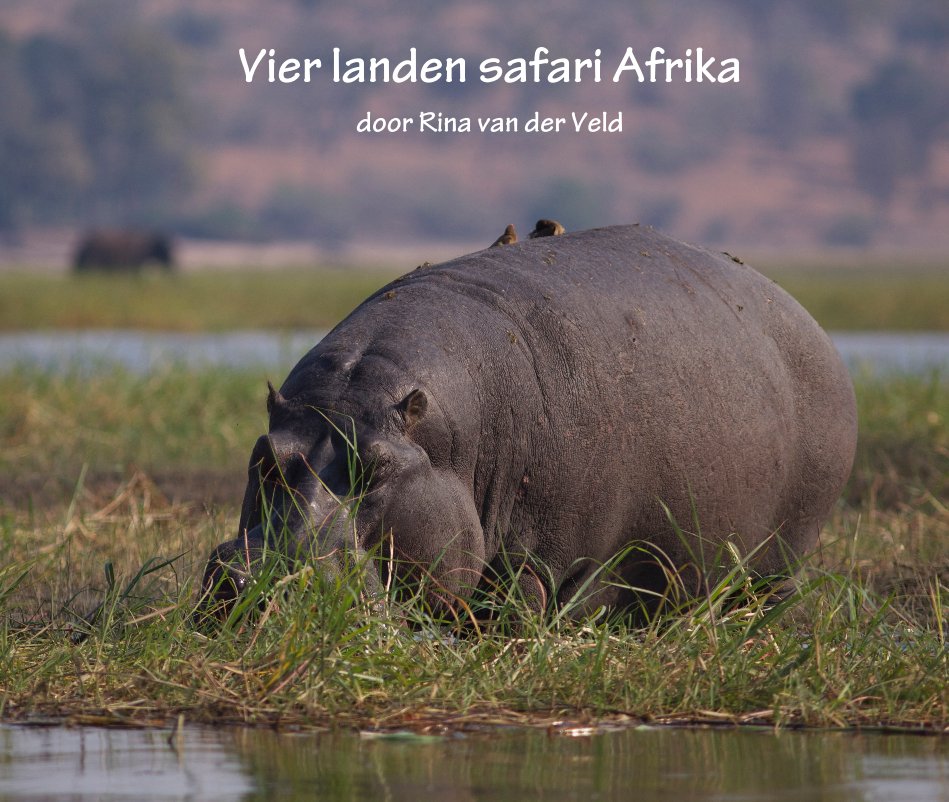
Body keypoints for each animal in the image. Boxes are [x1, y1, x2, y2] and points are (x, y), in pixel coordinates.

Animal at [200, 223, 860, 620]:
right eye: (264, 456)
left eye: (378, 469)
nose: (259, 578)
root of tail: (804, 317)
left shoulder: (545, 565)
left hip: (782, 557)